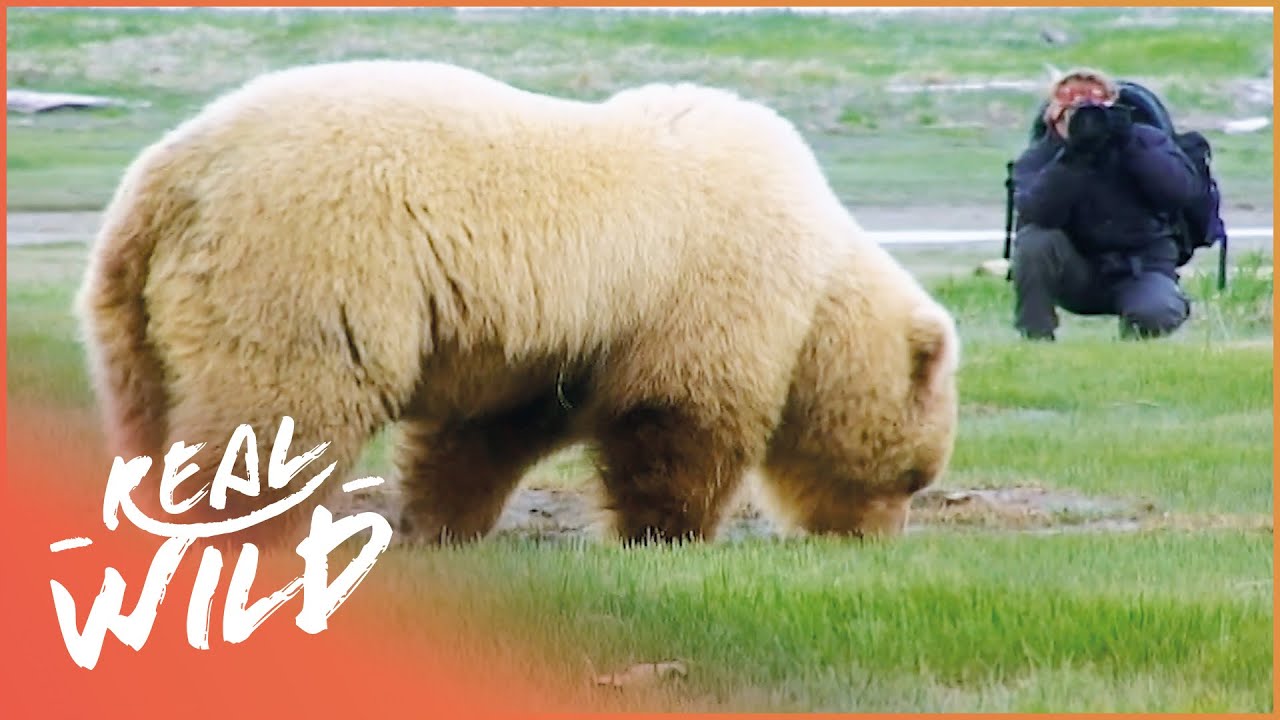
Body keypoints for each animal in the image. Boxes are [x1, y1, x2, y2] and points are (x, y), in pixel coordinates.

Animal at [74, 59, 959, 549]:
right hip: (307, 263)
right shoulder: (710, 283)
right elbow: (679, 421)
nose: (875, 540)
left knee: (146, 410)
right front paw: (666, 535)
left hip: (131, 308)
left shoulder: (547, 342)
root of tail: (172, 174)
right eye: (914, 477)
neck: (820, 282)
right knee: (276, 412)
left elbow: (481, 438)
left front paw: (439, 525)